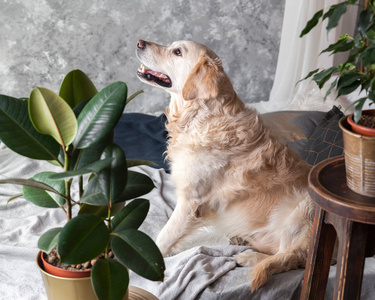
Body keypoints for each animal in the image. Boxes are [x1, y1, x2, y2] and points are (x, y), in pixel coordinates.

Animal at [135, 38, 314, 290]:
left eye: (177, 51)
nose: (139, 43)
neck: (199, 116)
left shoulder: (191, 201)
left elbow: (164, 235)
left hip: (303, 208)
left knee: (292, 256)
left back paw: (248, 257)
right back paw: (243, 241)